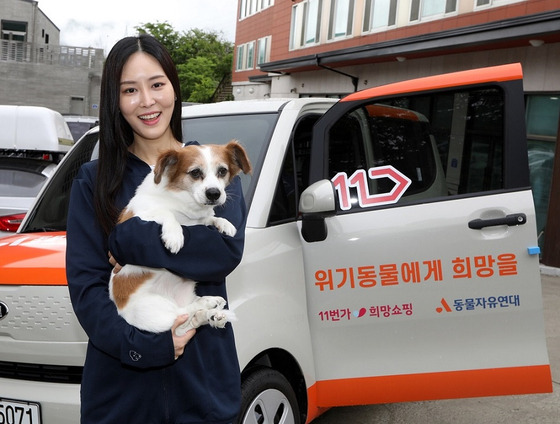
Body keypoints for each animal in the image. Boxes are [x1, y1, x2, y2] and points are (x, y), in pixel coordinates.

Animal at [109, 141, 252, 336]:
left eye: (222, 171)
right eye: (195, 172)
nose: (214, 193)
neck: (183, 201)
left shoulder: (199, 219)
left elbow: (210, 217)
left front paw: (224, 223)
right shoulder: (139, 215)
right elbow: (166, 213)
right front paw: (174, 236)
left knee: (187, 323)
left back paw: (212, 314)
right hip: (156, 310)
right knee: (182, 316)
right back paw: (207, 305)